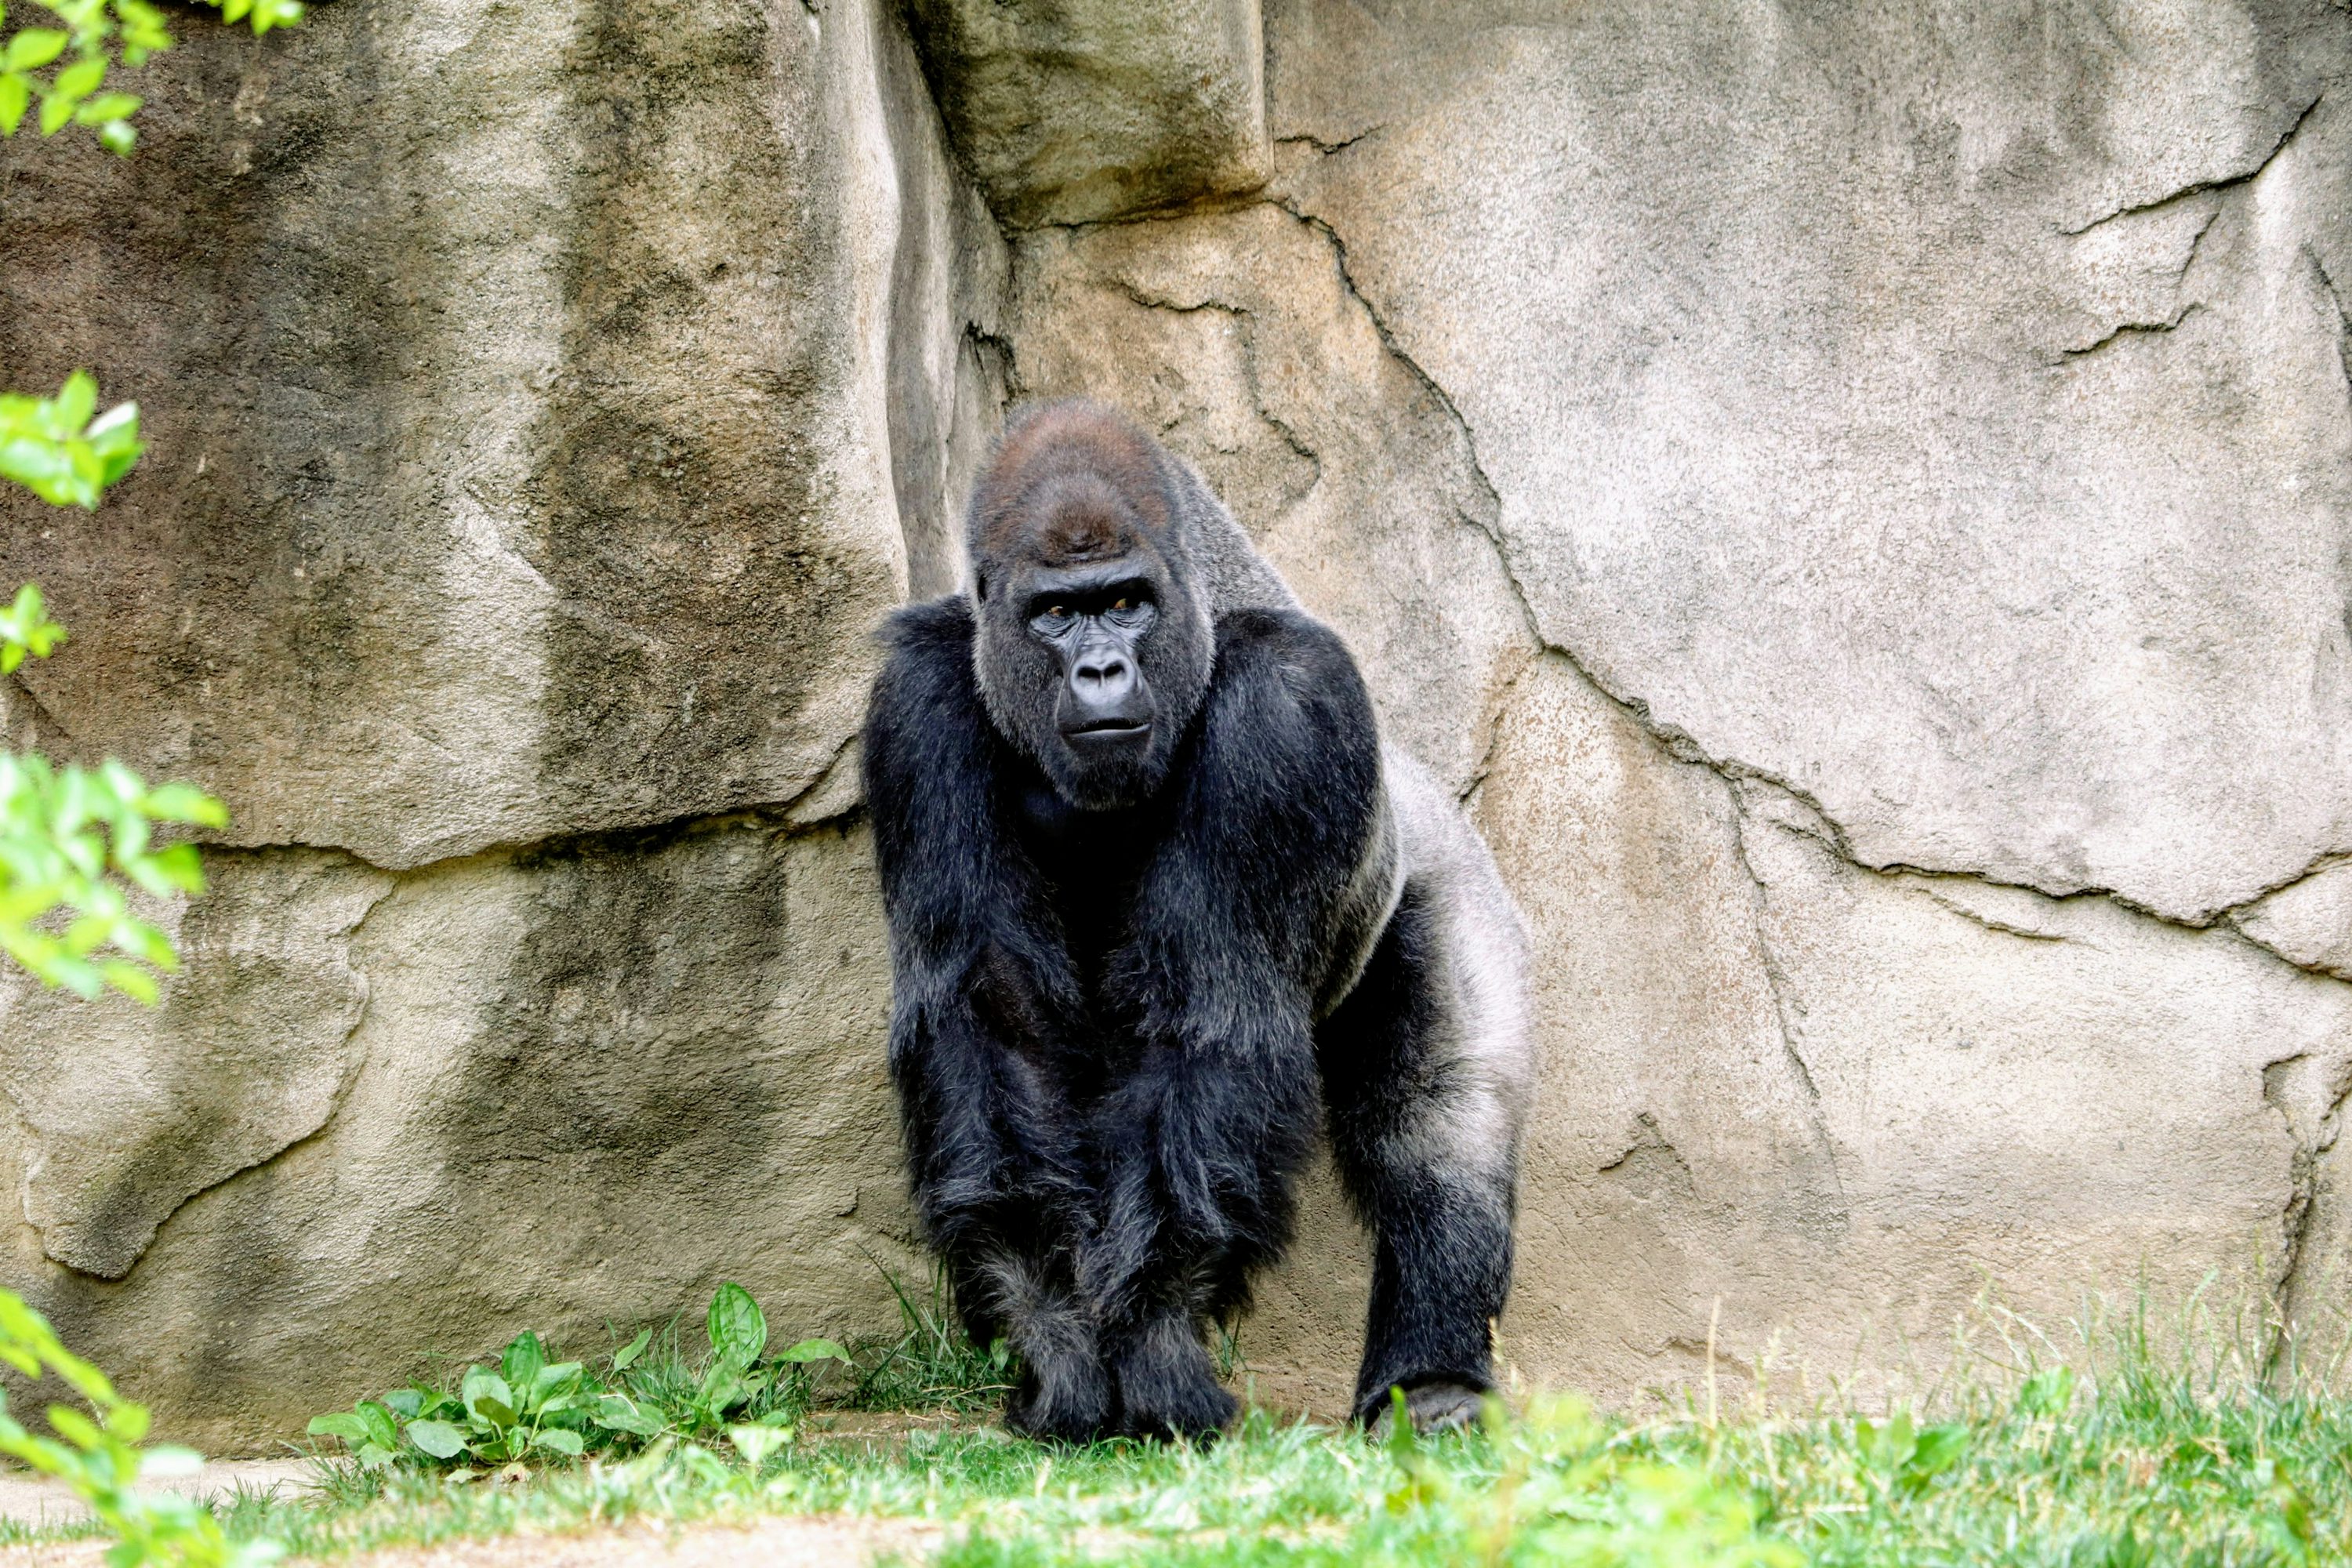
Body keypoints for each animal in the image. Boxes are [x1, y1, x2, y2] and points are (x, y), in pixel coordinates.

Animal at [861, 399, 1531, 1442]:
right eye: (1056, 614)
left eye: (1126, 602)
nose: (1101, 668)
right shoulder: (917, 703)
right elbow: (991, 1022)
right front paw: (1058, 1338)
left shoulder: (1288, 708)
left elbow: (1212, 1024)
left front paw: (1156, 1343)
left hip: (1446, 874)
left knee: (1440, 1121)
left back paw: (1433, 1379)